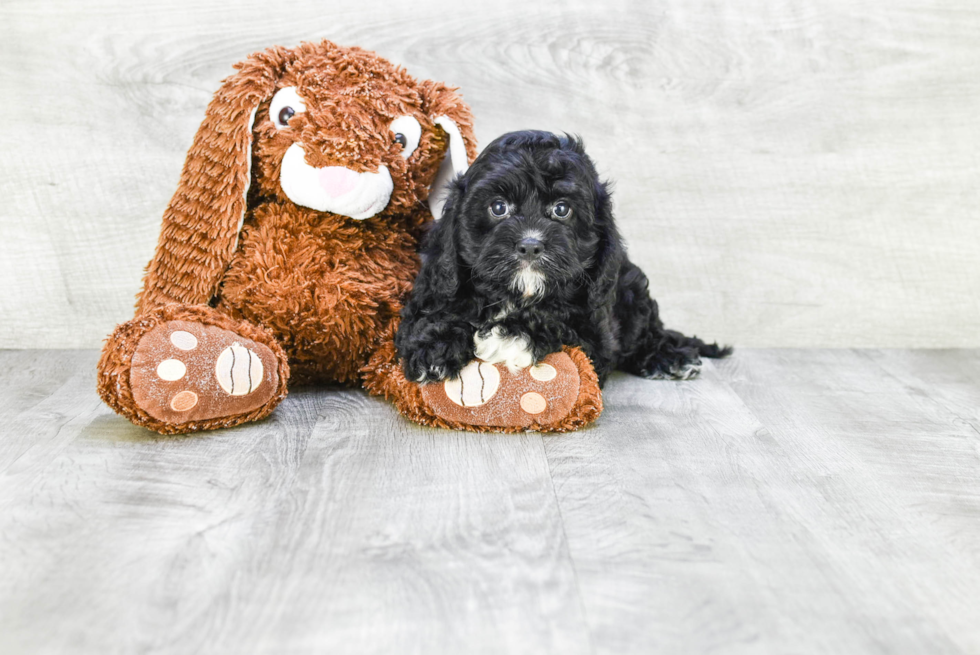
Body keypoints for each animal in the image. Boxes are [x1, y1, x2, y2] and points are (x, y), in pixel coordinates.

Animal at [396, 131, 728, 386]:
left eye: (561, 209)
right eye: (498, 207)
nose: (530, 245)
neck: (518, 295)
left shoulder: (594, 335)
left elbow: (554, 323)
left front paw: (508, 337)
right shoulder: (434, 287)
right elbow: (437, 315)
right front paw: (433, 347)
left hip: (632, 291)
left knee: (646, 333)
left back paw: (669, 357)